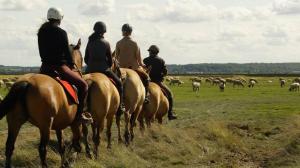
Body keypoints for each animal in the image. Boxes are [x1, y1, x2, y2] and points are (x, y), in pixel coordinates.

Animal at [0, 39, 84, 168]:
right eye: (82, 57)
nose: (80, 71)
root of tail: (27, 82)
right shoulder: (75, 123)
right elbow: (74, 142)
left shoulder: (59, 125)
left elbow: (62, 146)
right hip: (45, 125)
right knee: (42, 149)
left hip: (14, 121)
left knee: (9, 146)